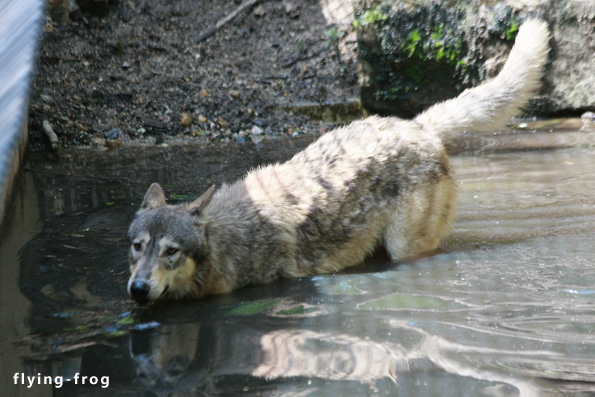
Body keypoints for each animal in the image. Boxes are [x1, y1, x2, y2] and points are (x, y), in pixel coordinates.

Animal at [128, 20, 552, 302]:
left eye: (170, 251)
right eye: (137, 246)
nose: (138, 289)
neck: (229, 239)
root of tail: (416, 123)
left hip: (404, 248)